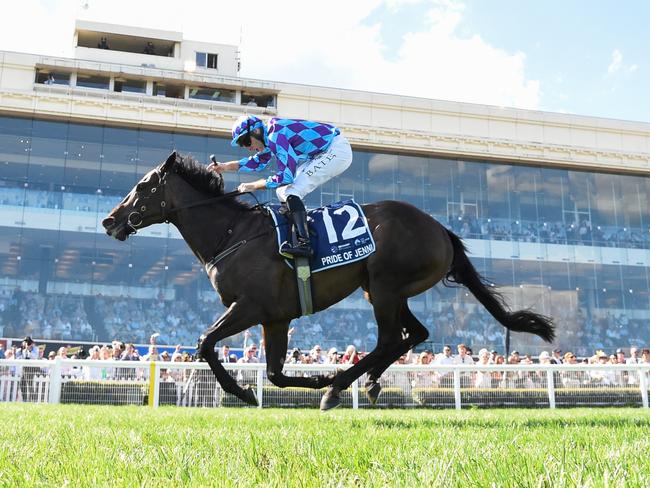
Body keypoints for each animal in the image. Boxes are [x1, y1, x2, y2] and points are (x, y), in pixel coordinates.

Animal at [101, 151, 552, 410]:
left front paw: (246, 392)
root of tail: (441, 228)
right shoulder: (275, 318)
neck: (232, 234)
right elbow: (274, 372)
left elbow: (206, 343)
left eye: (142, 186)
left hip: (385, 286)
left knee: (390, 338)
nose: (109, 220)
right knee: (413, 334)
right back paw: (365, 382)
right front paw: (310, 379)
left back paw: (340, 386)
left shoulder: (250, 307)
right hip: (384, 290)